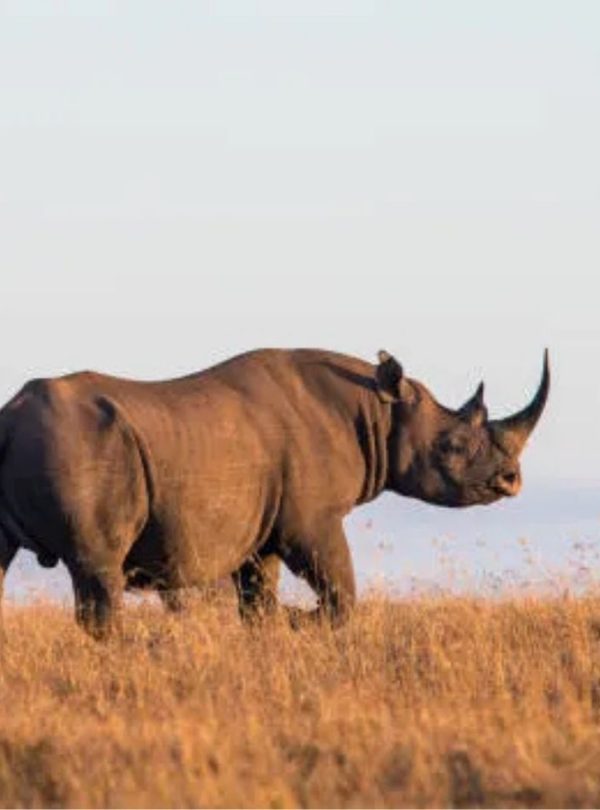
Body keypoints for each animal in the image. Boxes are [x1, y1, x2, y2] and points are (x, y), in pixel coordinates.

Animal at [0, 348, 549, 639]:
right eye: (452, 445)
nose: (511, 480)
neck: (380, 410)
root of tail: (12, 416)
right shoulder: (312, 519)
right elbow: (341, 593)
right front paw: (299, 620)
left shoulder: (260, 533)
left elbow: (259, 599)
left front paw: (274, 625)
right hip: (77, 447)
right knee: (99, 573)